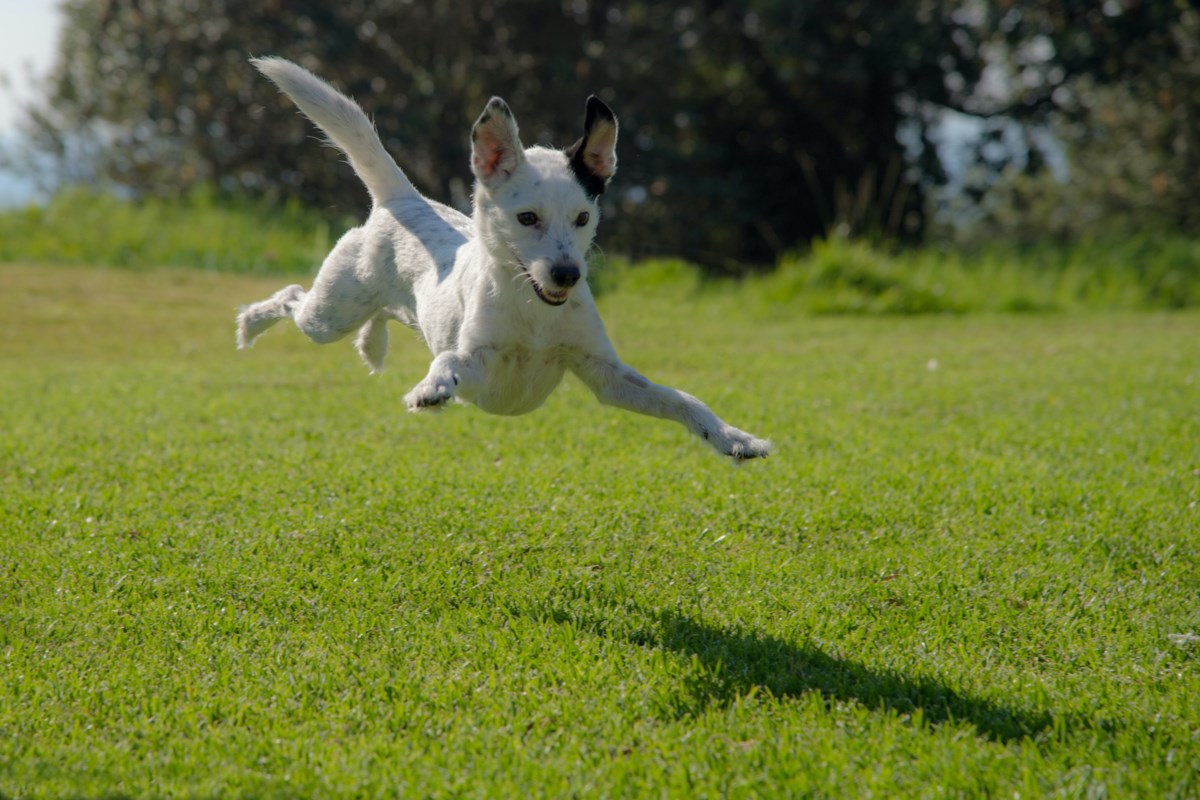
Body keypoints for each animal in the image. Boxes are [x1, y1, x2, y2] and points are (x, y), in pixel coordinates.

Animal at [238, 57, 772, 462]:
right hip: (329, 314)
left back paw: (372, 344)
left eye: (583, 217)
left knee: (378, 316)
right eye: (527, 217)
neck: (534, 313)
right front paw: (431, 387)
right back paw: (251, 324)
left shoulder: (606, 375)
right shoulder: (480, 364)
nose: (567, 274)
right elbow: (449, 360)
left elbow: (683, 399)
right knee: (292, 297)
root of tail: (403, 199)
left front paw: (733, 438)